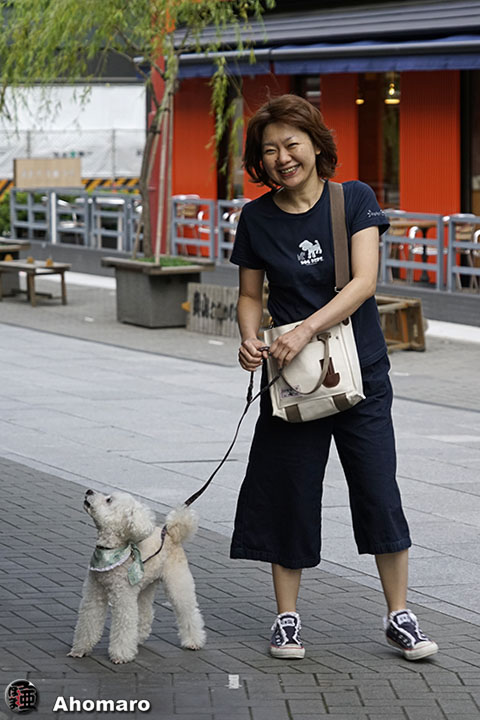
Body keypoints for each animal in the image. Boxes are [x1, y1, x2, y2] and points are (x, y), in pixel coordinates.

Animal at [68, 490, 206, 664]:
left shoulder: (124, 598)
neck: (112, 550)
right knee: (145, 612)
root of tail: (169, 533)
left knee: (188, 611)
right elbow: (88, 621)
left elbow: (124, 625)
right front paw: (80, 649)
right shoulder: (94, 594)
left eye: (108, 500)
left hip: (177, 582)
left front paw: (120, 655)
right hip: (146, 585)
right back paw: (138, 638)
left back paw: (193, 641)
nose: (89, 491)